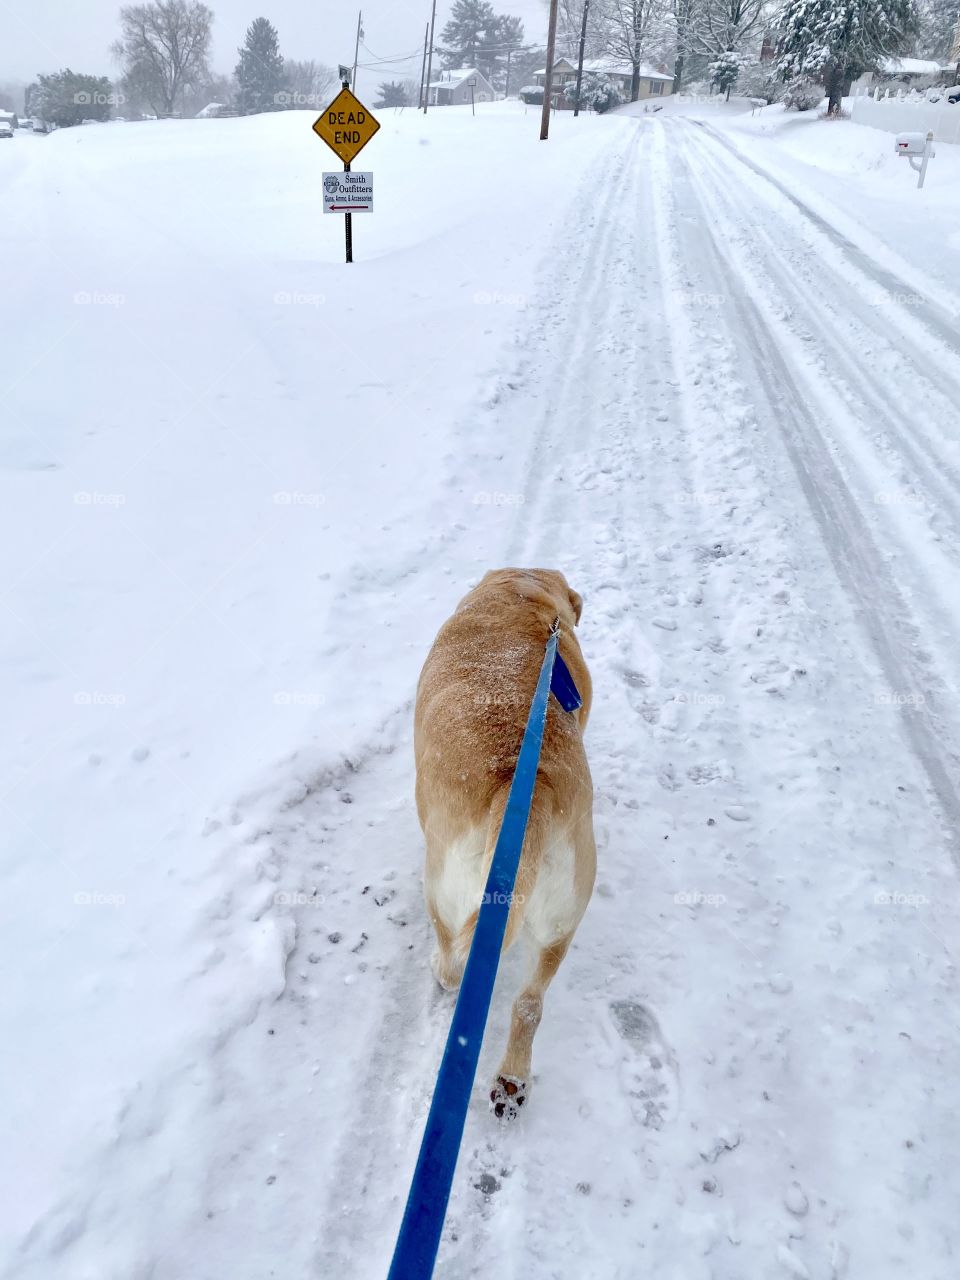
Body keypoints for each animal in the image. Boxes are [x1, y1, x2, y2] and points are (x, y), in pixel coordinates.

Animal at [414, 570, 593, 1121]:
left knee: (453, 962)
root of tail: (530, 797)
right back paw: (512, 1080)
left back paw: (441, 972)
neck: (523, 593)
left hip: (443, 889)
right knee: (530, 1003)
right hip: (563, 920)